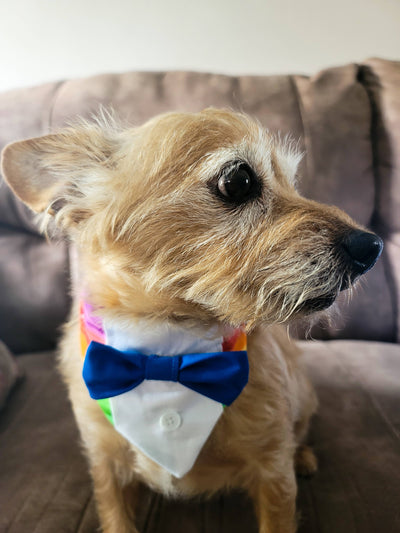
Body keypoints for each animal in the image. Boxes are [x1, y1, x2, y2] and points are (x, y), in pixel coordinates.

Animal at [0, 109, 382, 532]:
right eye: (238, 181)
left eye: (293, 183)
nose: (373, 246)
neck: (167, 349)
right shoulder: (106, 467)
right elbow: (116, 515)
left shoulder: (273, 470)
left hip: (303, 395)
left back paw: (305, 456)